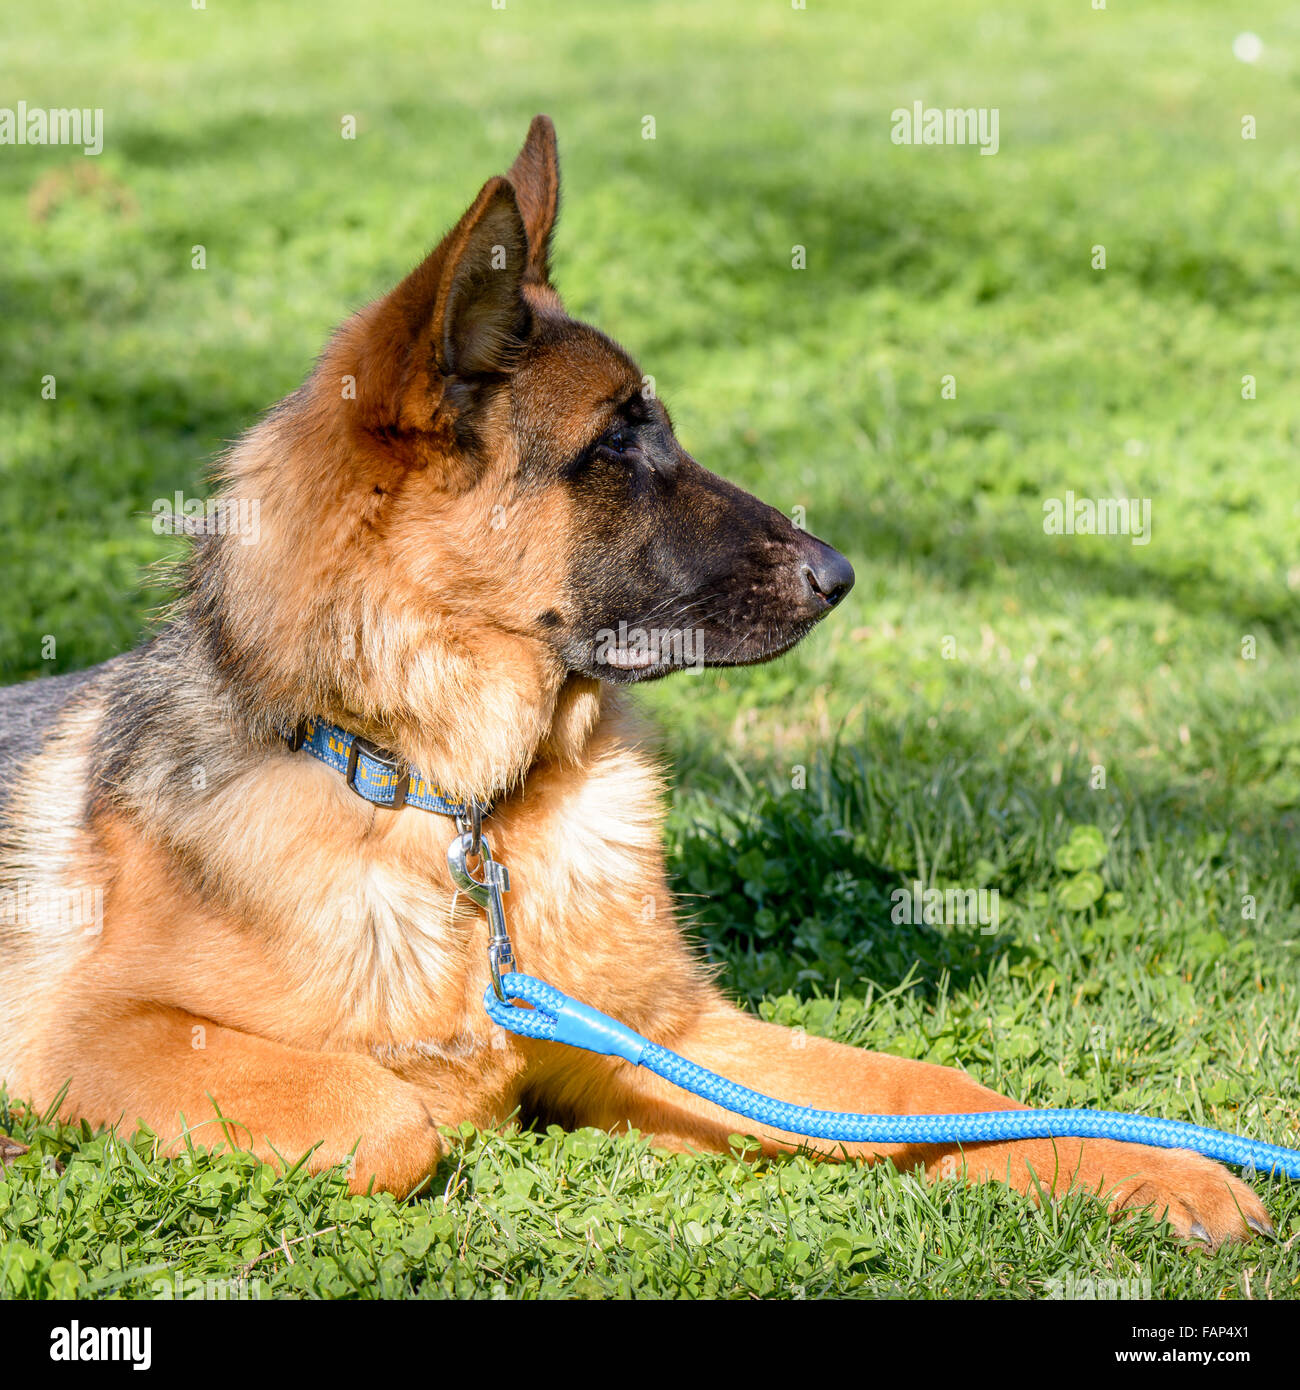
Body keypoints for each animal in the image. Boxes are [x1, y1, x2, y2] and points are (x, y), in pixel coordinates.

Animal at [0, 122, 1268, 1251]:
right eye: (614, 445)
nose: (839, 575)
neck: (449, 801)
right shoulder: (99, 1034)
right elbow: (390, 1116)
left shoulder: (672, 1035)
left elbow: (936, 1090)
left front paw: (1155, 1166)